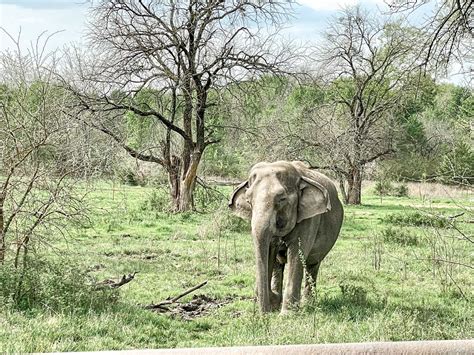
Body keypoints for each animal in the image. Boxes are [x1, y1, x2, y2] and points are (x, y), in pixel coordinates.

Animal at [229, 161, 342, 314]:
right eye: (248, 200)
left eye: (282, 199)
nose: (264, 315)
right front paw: (273, 303)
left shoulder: (309, 219)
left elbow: (296, 255)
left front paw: (287, 314)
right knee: (279, 265)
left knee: (312, 265)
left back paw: (309, 305)